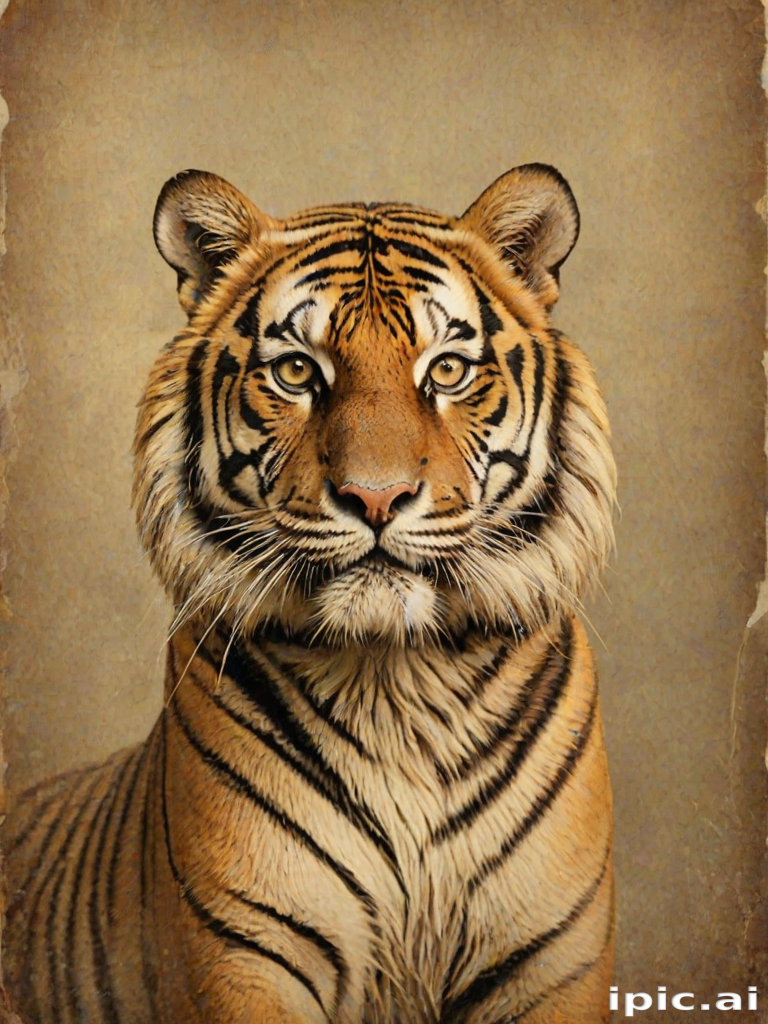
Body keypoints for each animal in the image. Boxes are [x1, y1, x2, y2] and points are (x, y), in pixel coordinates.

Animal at [4, 162, 617, 1024]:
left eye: (447, 370)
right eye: (297, 371)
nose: (376, 497)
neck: (397, 682)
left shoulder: (550, 959)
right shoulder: (242, 956)